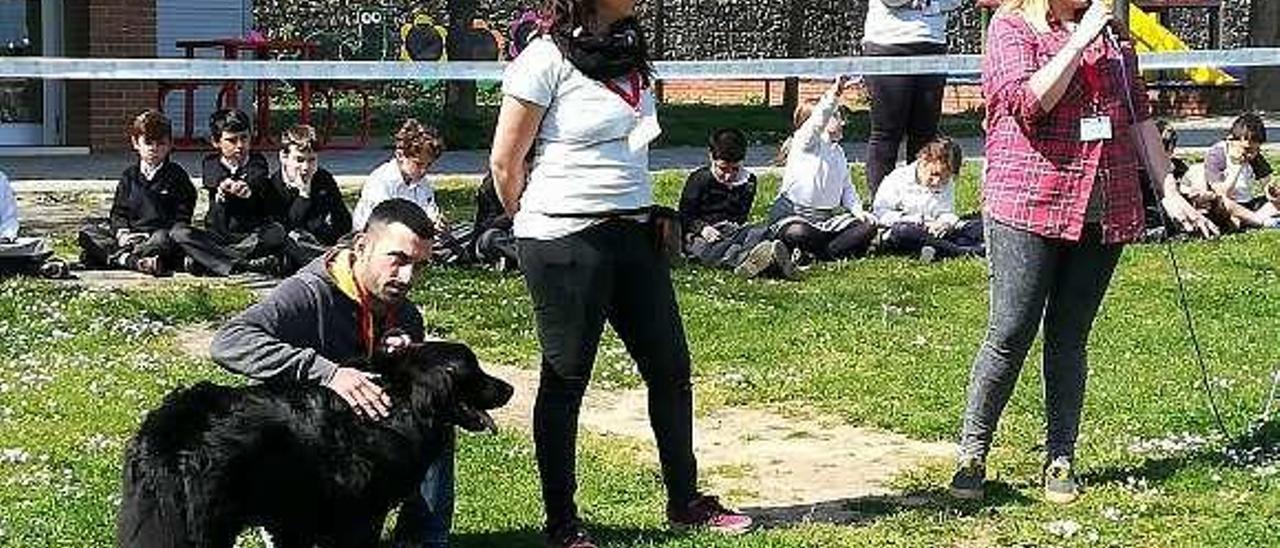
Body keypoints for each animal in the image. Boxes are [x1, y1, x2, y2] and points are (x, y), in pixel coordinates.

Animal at [116, 340, 514, 545]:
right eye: (475, 371)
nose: (509, 389)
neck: (401, 401)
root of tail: (169, 429)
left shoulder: (295, 518)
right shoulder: (358, 512)